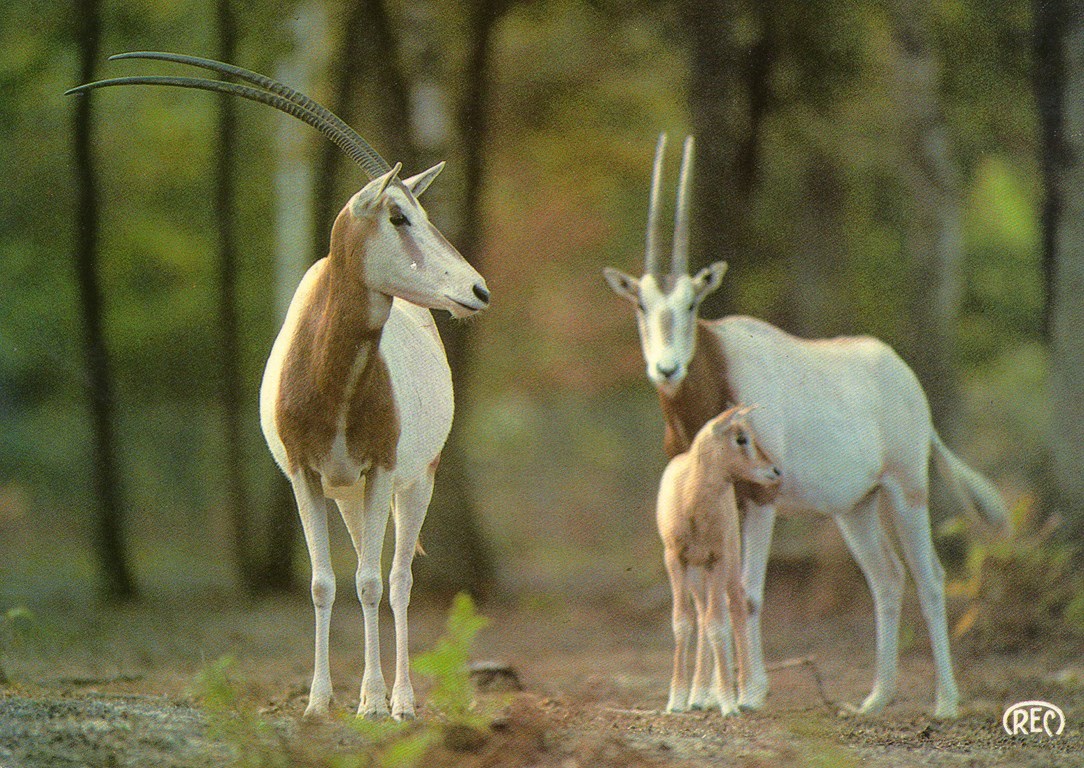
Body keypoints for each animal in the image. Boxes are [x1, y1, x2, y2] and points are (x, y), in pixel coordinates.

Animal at [68, 53, 490, 720]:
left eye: (419, 213)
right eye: (399, 215)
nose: (476, 291)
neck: (329, 375)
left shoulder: (379, 470)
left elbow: (372, 582)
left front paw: (374, 704)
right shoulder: (305, 475)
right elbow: (323, 583)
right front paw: (319, 702)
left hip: (414, 480)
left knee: (397, 580)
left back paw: (400, 699)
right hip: (348, 495)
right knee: (365, 571)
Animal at [658, 406, 781, 716]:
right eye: (741, 438)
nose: (775, 471)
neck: (690, 498)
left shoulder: (718, 559)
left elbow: (718, 625)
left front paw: (729, 703)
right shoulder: (674, 559)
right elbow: (682, 621)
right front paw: (676, 701)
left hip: (728, 564)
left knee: (734, 608)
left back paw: (746, 695)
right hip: (695, 572)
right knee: (702, 615)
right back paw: (697, 696)